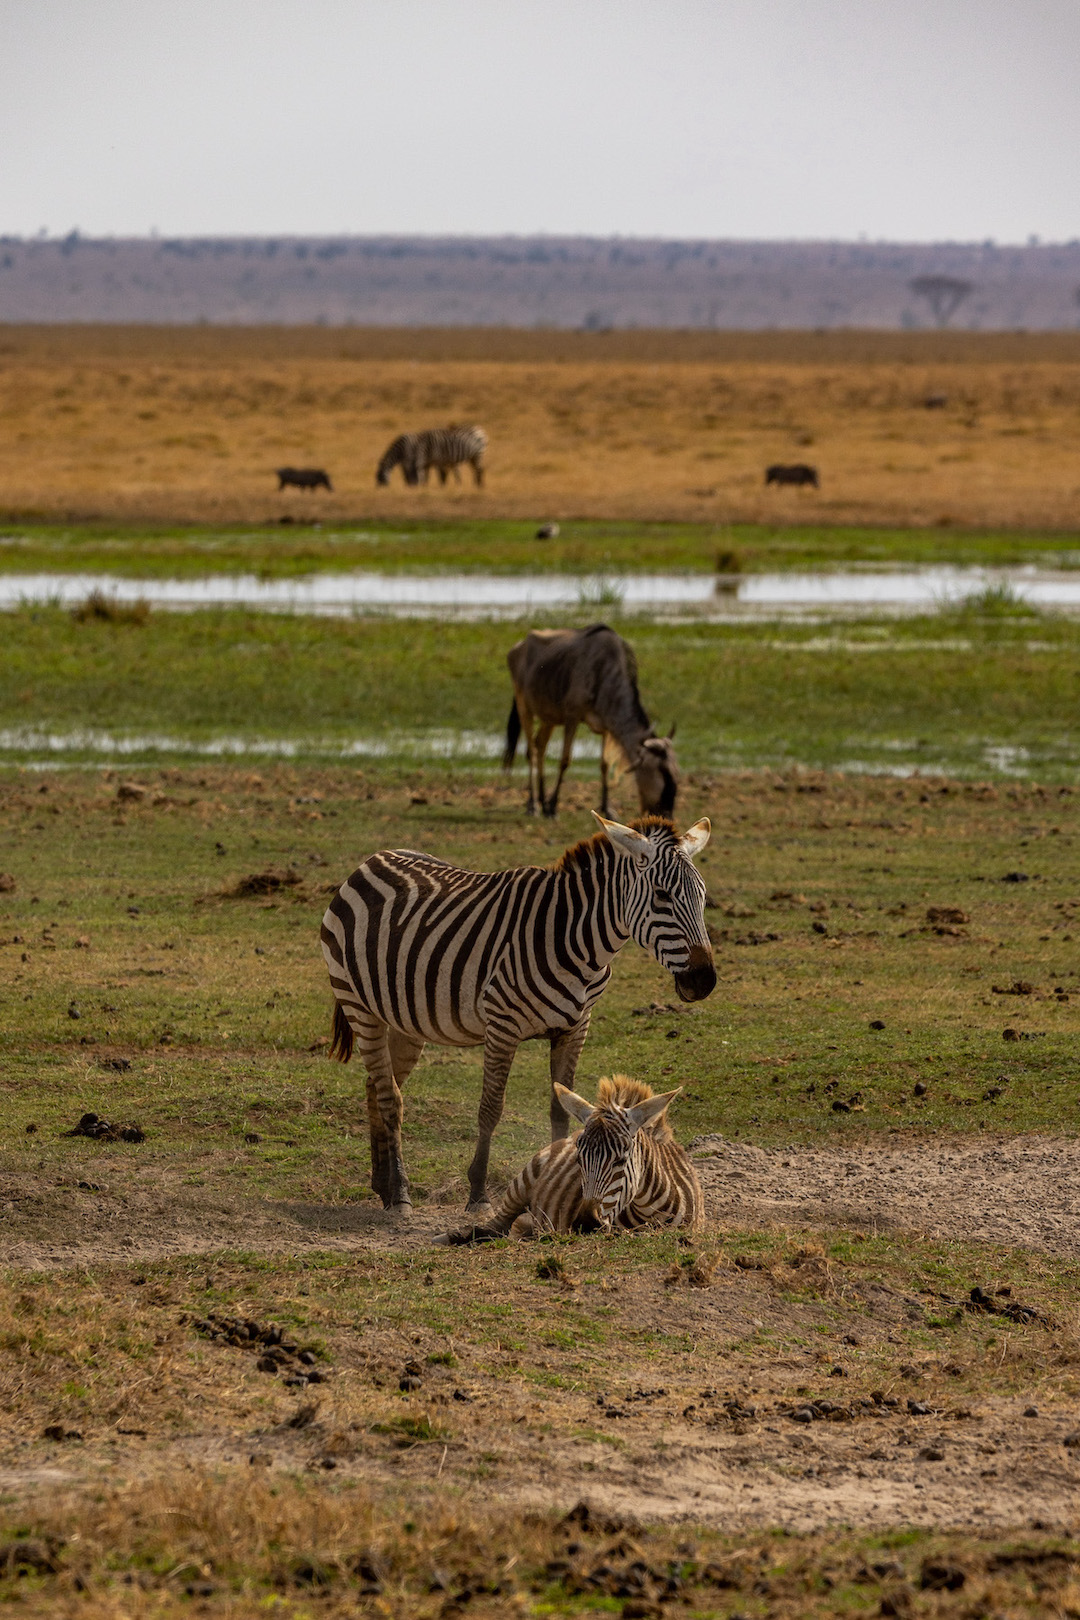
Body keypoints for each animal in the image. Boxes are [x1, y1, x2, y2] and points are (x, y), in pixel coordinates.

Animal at [318, 816, 718, 1211]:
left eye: (702, 896)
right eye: (662, 896)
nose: (704, 981)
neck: (575, 940)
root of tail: (371, 860)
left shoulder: (576, 1028)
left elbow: (561, 1108)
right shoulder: (502, 1025)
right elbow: (491, 1108)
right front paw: (478, 1193)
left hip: (406, 1021)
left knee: (376, 1086)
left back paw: (382, 1186)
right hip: (360, 1006)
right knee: (391, 1098)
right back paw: (399, 1192)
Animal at [437, 1075, 702, 1237]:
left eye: (621, 1160)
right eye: (578, 1160)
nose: (584, 1223)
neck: (650, 1211)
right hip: (522, 1182)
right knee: (495, 1227)